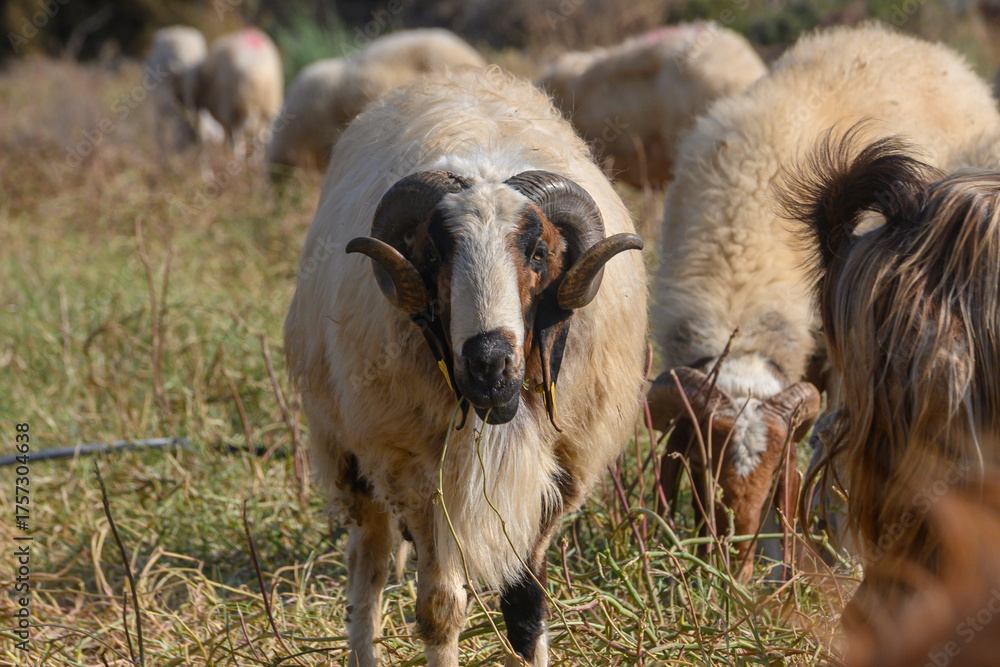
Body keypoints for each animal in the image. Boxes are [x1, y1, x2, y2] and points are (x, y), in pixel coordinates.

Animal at [195, 27, 283, 158]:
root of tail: (254, 71)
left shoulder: (224, 110)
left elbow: (229, 132)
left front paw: (228, 151)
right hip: (266, 106)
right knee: (259, 133)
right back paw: (255, 157)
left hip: (236, 104)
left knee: (240, 132)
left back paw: (237, 155)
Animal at [284, 66, 647, 666]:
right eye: (433, 254)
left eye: (539, 253)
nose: (488, 362)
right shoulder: (415, 473)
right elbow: (439, 610)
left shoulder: (561, 475)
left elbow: (526, 609)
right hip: (351, 453)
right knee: (368, 569)